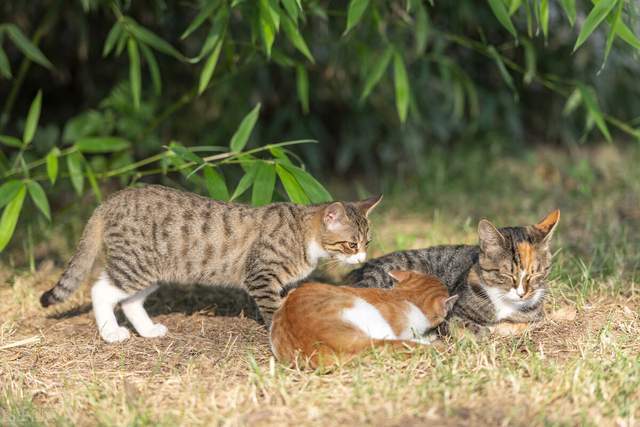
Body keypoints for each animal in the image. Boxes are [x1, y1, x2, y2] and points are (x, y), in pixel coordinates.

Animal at [40, 186, 380, 342]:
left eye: (367, 243)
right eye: (351, 244)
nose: (362, 258)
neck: (301, 233)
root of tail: (110, 200)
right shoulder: (260, 275)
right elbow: (272, 309)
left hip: (150, 269)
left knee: (129, 301)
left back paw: (148, 330)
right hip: (135, 264)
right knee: (101, 291)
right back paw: (110, 333)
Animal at [350, 211, 560, 334]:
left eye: (536, 274)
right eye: (508, 275)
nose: (522, 294)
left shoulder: (533, 316)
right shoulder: (452, 315)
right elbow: (473, 328)